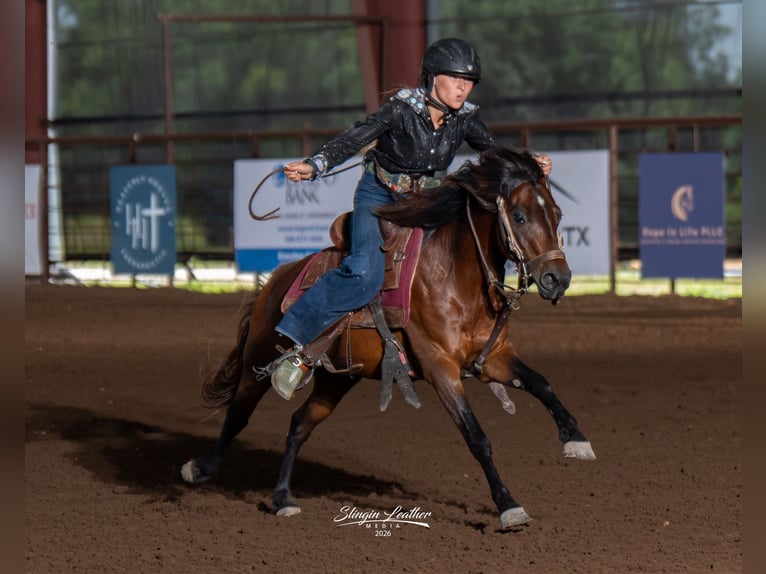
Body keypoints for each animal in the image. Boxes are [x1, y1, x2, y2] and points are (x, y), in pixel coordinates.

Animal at [181, 145, 596, 529]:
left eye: (557, 214)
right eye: (520, 216)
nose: (558, 279)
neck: (454, 274)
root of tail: (276, 280)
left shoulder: (493, 357)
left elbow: (541, 383)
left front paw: (576, 438)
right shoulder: (440, 368)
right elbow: (477, 437)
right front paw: (509, 506)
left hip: (338, 378)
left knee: (300, 423)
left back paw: (283, 497)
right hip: (260, 357)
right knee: (238, 414)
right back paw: (200, 468)